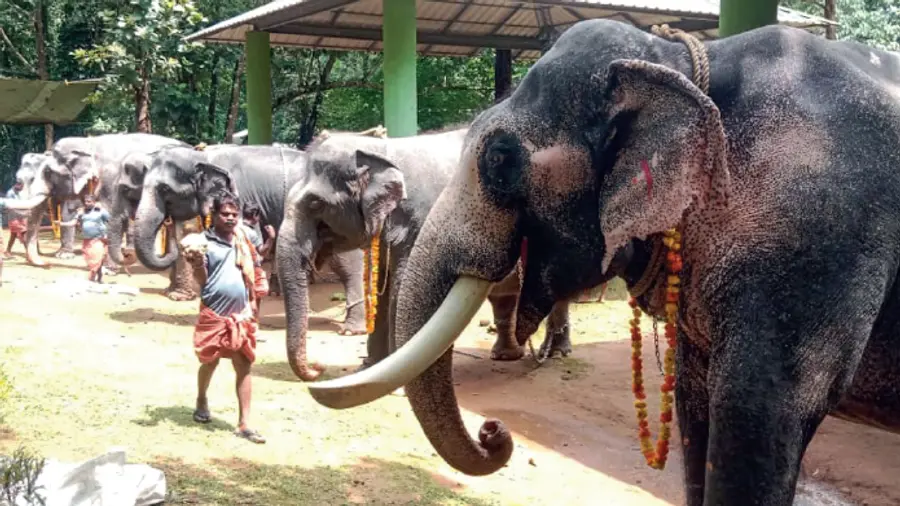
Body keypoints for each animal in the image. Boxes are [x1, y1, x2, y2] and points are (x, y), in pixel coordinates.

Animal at [10, 133, 188, 270]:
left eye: (47, 172)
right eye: (18, 181)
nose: (45, 264)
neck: (87, 144)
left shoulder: (112, 181)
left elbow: (104, 215)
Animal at [132, 144, 367, 334]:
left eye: (164, 189)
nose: (167, 221)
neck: (203, 156)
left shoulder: (239, 196)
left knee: (346, 265)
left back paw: (351, 330)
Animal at [276, 128, 572, 382]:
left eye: (315, 203)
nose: (317, 368)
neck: (381, 150)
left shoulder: (425, 219)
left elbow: (405, 289)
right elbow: (385, 289)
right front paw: (371, 368)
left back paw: (555, 353)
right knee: (505, 296)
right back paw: (507, 356)